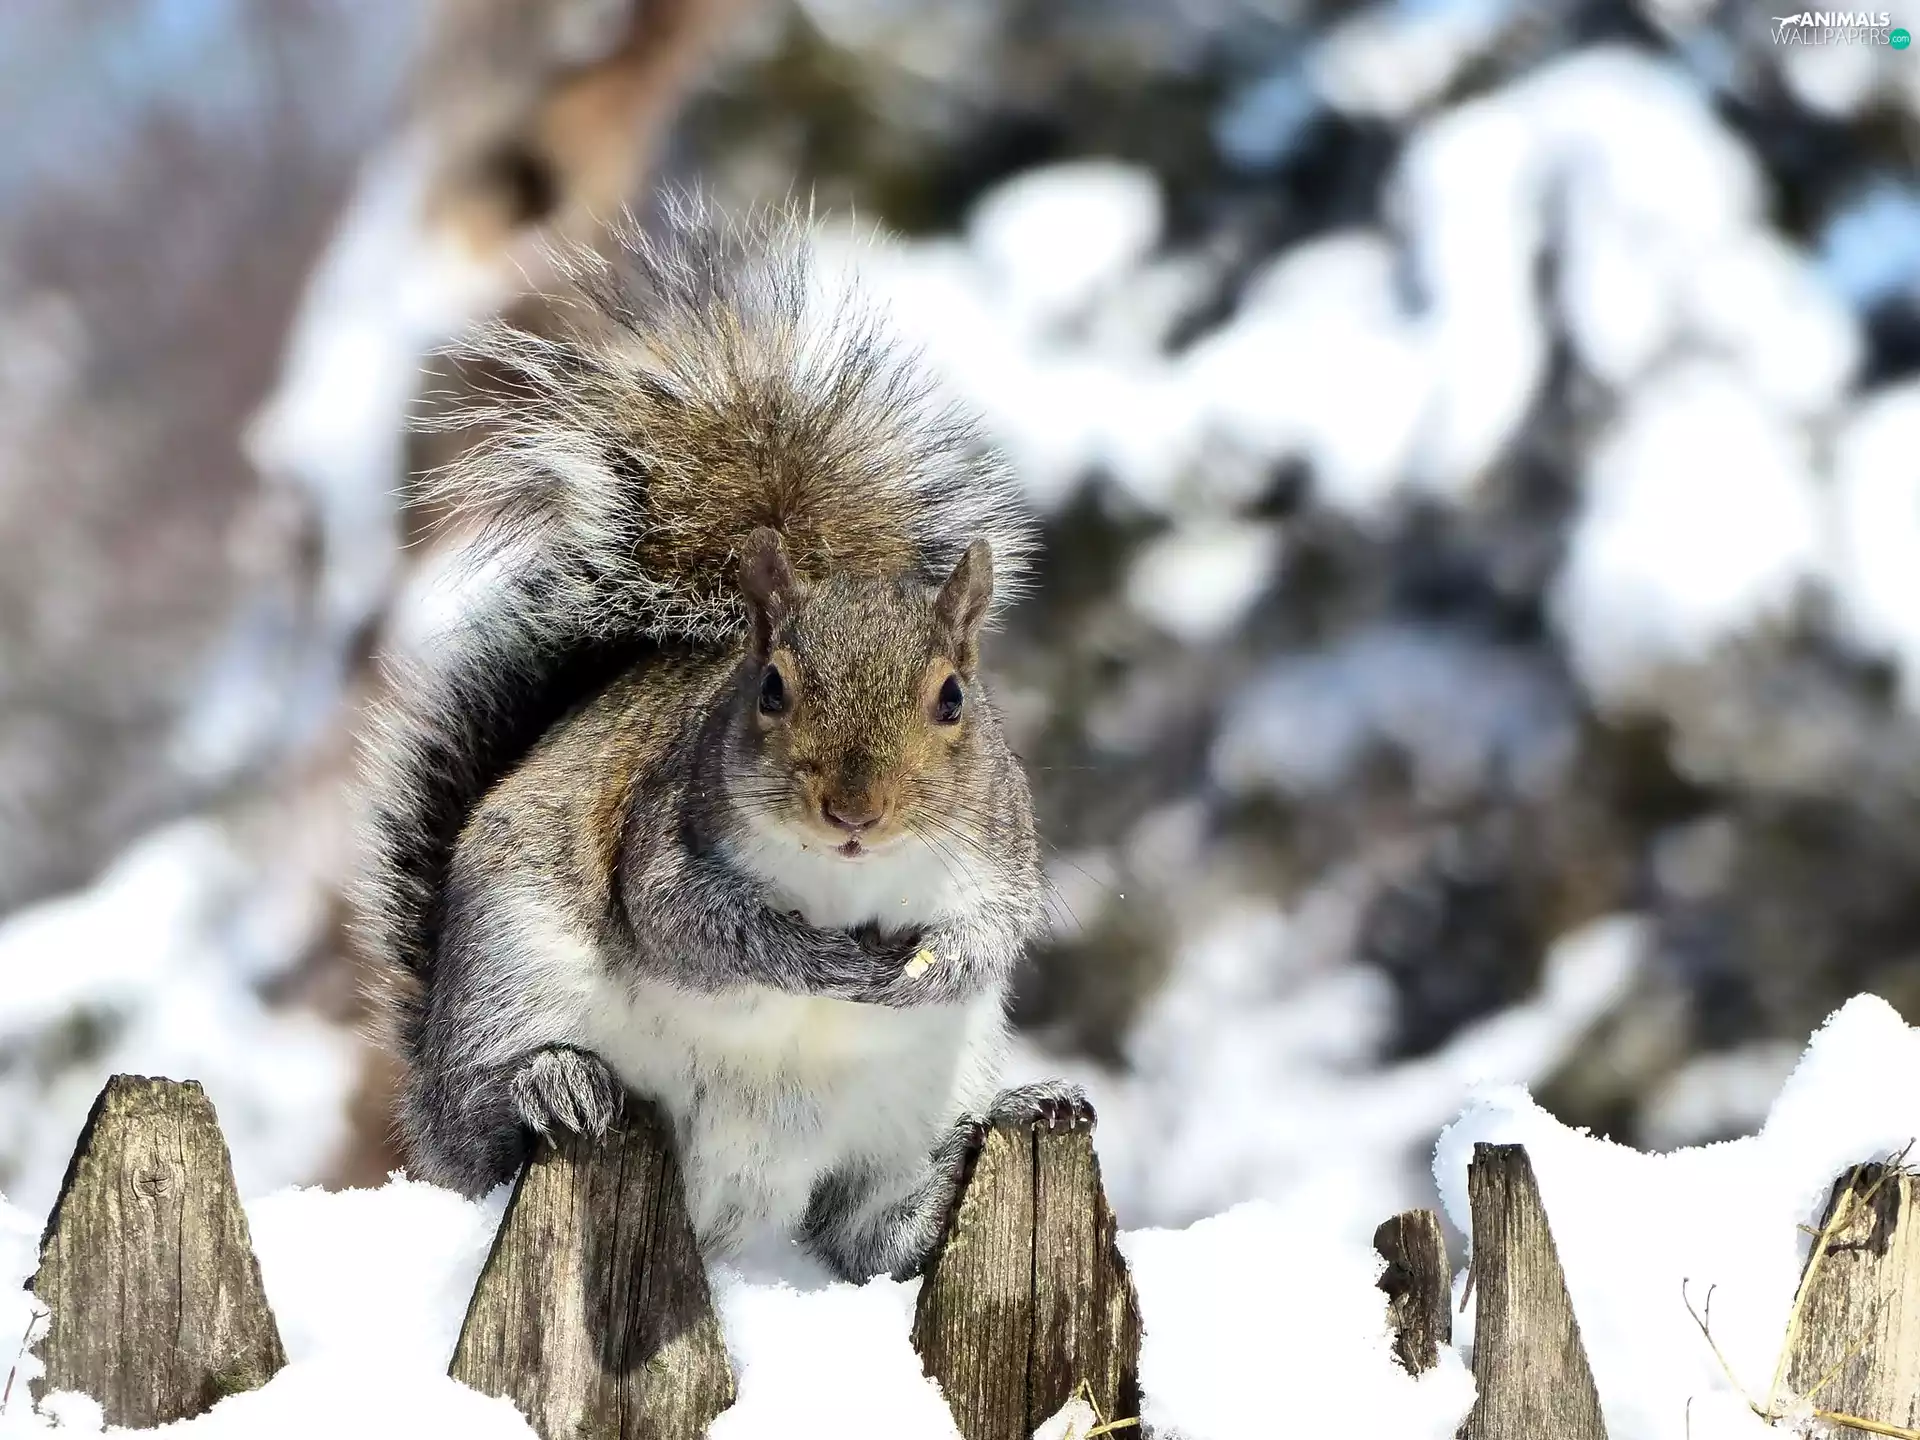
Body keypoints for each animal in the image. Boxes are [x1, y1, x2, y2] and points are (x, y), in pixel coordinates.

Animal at [355, 198, 1090, 1281]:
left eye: (954, 698)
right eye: (772, 689)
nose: (855, 811)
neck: (846, 885)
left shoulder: (1001, 850)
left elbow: (997, 926)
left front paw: (940, 964)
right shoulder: (665, 841)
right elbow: (692, 926)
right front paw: (819, 963)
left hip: (911, 1103)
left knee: (870, 1234)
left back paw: (1010, 1119)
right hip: (507, 977)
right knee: (488, 1127)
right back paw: (549, 1084)